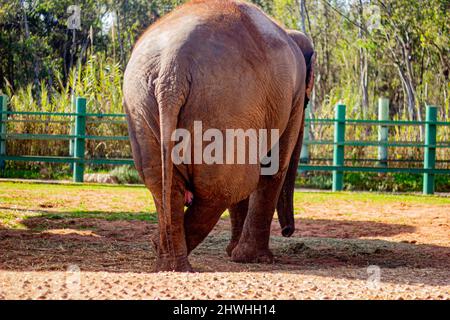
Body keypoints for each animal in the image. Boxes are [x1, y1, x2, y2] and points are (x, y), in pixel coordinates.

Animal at [121, 0, 314, 272]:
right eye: (308, 100)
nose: (288, 231)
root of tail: (172, 68)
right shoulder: (292, 98)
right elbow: (273, 168)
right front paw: (255, 259)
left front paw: (234, 254)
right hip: (226, 102)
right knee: (227, 185)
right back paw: (171, 256)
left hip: (142, 102)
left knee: (163, 182)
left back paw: (166, 259)